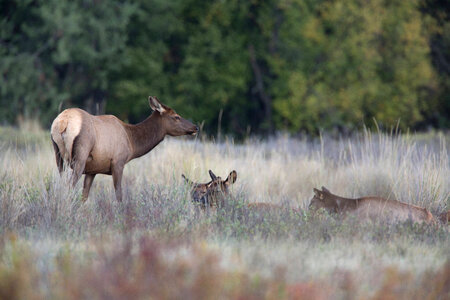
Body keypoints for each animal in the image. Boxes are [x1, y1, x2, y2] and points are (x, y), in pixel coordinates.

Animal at [50, 96, 197, 203]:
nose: (195, 127)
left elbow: (84, 197)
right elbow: (119, 195)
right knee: (69, 185)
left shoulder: (93, 170)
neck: (131, 142)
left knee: (61, 183)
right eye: (176, 116)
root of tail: (63, 122)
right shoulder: (118, 162)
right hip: (80, 155)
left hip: (58, 156)